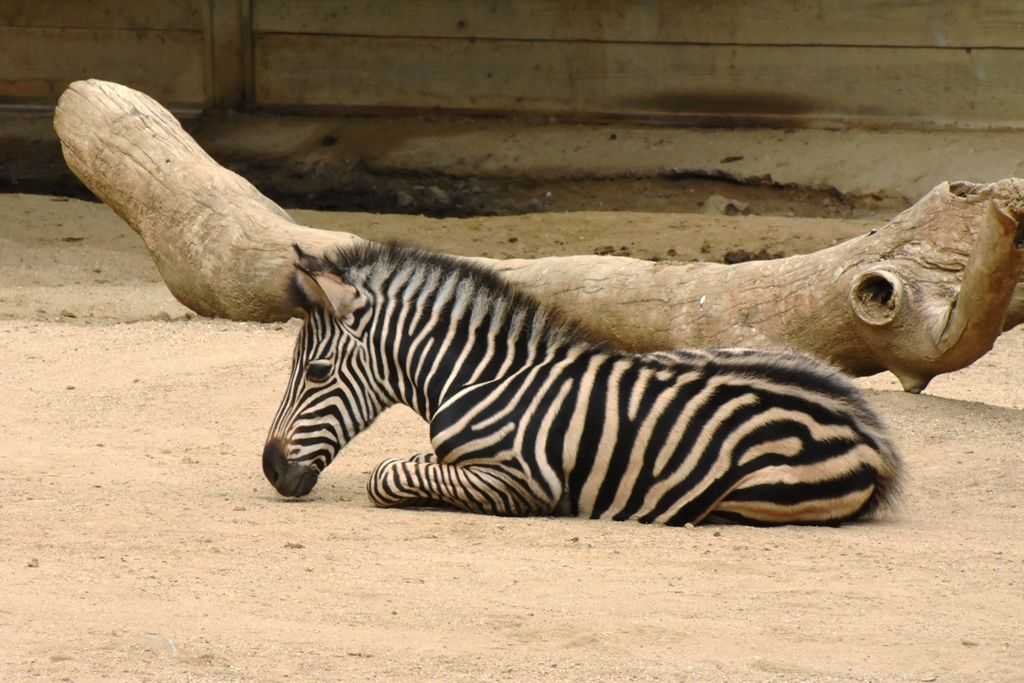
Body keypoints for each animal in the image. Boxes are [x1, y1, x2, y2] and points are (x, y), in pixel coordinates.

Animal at [260, 242, 901, 528]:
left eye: (316, 373)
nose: (271, 469)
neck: (480, 379)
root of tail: (869, 429)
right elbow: (410, 464)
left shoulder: (523, 481)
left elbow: (387, 473)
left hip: (759, 490)